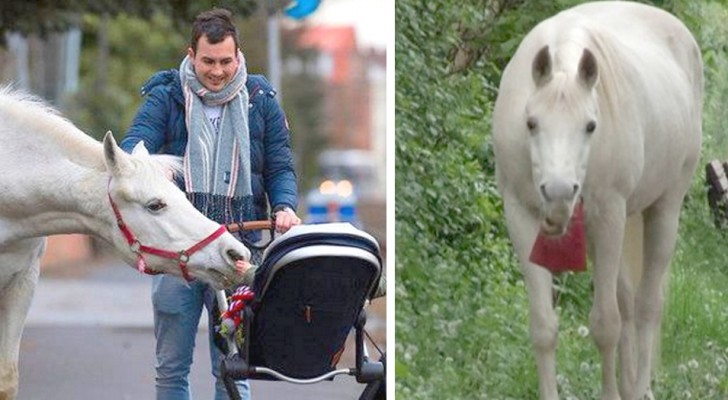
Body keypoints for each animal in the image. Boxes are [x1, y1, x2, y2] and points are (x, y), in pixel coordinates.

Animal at [492, 1, 704, 398]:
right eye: (531, 123)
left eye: (591, 126)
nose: (559, 192)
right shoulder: (521, 216)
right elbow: (543, 327)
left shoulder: (608, 217)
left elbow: (606, 325)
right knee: (628, 301)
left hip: (663, 210)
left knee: (647, 305)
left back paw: (639, 387)